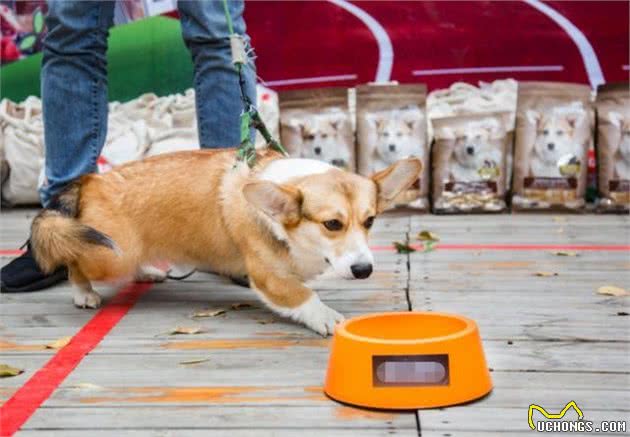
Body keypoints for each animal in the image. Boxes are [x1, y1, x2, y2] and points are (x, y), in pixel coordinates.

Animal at [30, 148, 424, 336]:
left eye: (370, 221)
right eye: (332, 224)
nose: (364, 270)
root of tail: (90, 181)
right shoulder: (268, 277)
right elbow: (304, 296)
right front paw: (326, 318)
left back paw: (147, 271)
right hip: (111, 257)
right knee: (74, 261)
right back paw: (83, 293)